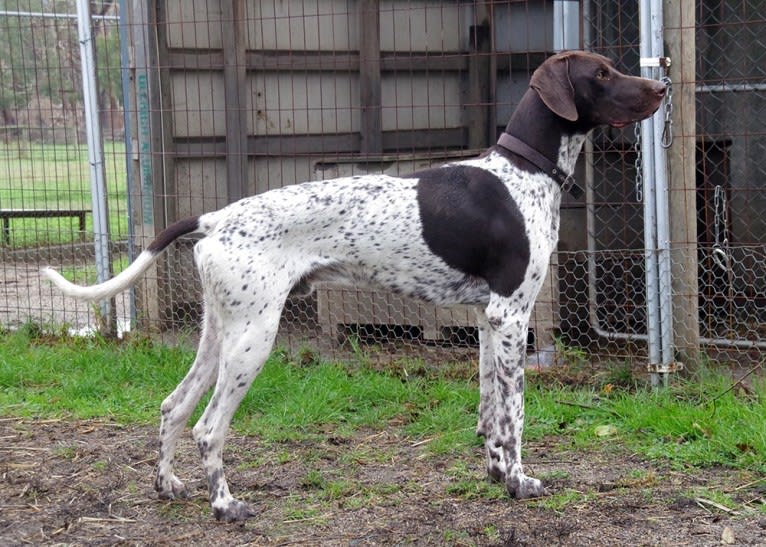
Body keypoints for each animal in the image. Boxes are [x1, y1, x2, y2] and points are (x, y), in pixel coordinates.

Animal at [43, 51, 664, 524]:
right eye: (602, 72)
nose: (662, 84)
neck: (524, 171)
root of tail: (215, 219)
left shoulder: (490, 323)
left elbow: (491, 412)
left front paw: (494, 473)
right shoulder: (511, 317)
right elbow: (515, 416)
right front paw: (518, 481)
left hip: (221, 331)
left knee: (173, 408)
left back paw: (168, 486)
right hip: (254, 339)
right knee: (206, 427)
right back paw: (225, 505)